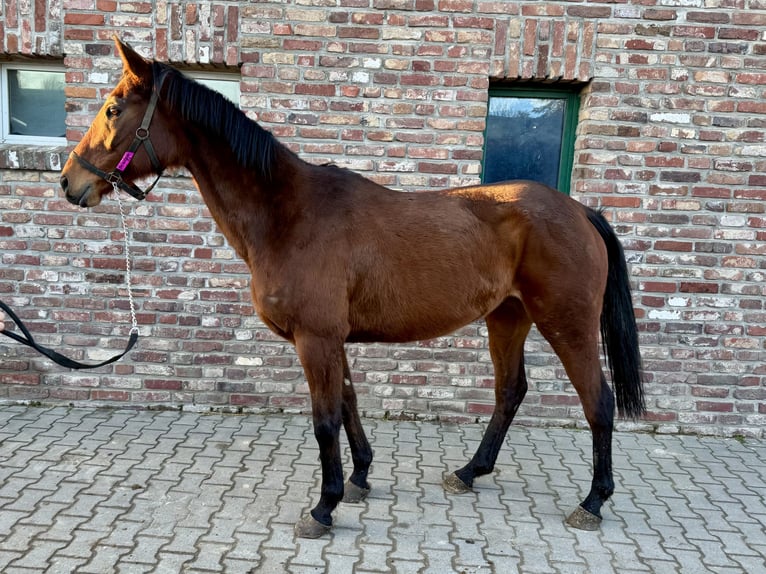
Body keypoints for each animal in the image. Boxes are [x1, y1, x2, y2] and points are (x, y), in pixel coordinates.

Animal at [61, 38, 648, 544]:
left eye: (113, 109)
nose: (70, 183)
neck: (289, 214)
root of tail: (580, 210)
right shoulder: (331, 338)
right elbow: (348, 403)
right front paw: (360, 477)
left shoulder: (316, 338)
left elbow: (325, 421)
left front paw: (325, 506)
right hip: (507, 317)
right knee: (510, 393)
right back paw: (469, 471)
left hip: (566, 323)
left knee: (597, 400)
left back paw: (593, 501)